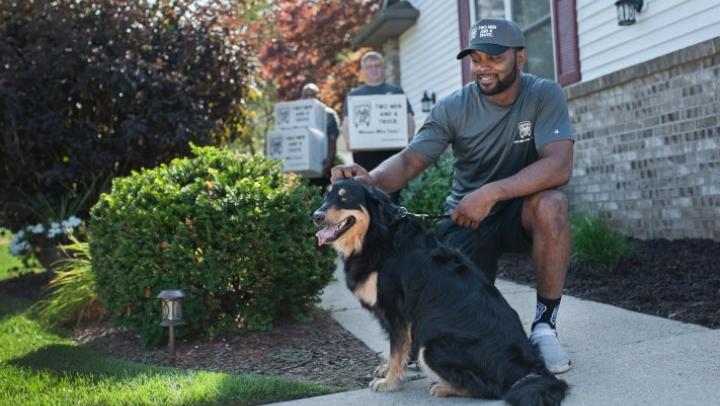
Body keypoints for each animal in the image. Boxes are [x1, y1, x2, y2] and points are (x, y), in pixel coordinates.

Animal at [314, 180, 568, 406]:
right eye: (325, 196)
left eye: (345, 198)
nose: (316, 216)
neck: (376, 234)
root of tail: (528, 364)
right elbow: (397, 349)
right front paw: (387, 370)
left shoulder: (397, 312)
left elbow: (396, 350)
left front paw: (389, 382)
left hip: (433, 346)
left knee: (493, 389)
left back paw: (443, 387)